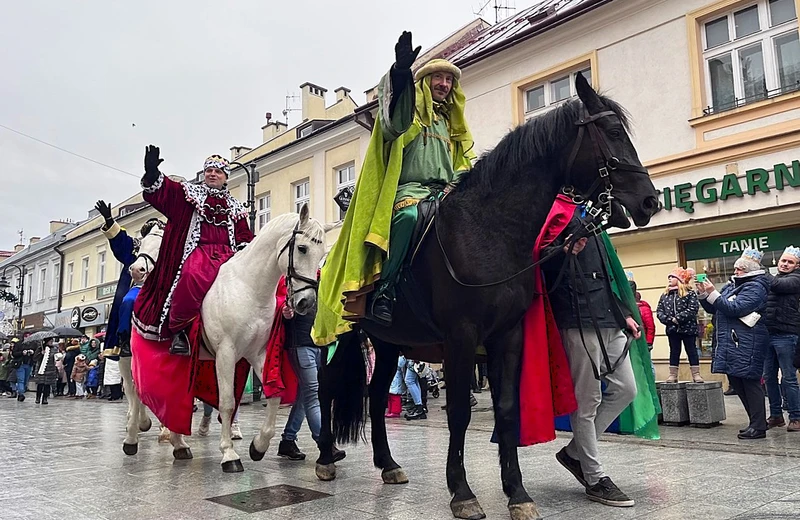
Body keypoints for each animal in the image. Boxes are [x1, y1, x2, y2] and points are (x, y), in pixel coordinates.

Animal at [162, 205, 328, 474]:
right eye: (302, 248)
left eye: (323, 255)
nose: (306, 303)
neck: (249, 287)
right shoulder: (226, 353)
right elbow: (227, 402)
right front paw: (229, 454)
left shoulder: (258, 354)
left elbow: (274, 395)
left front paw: (258, 446)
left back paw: (178, 443)